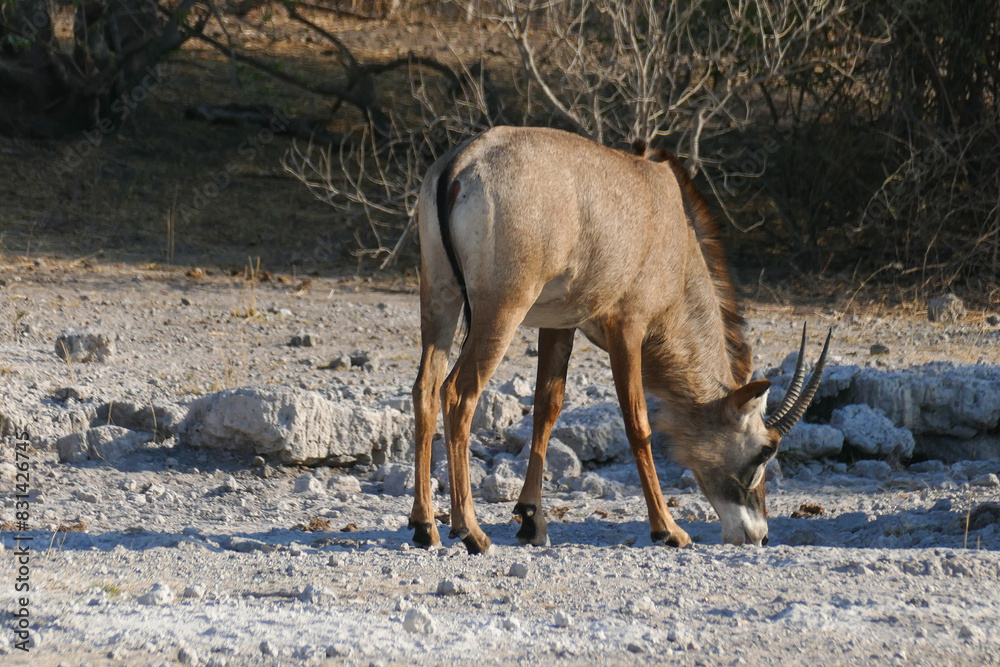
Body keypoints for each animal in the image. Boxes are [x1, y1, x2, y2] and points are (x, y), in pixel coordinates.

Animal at [406, 126, 828, 552]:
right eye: (765, 450)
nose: (758, 534)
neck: (676, 230)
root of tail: (463, 162)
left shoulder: (559, 322)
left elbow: (547, 407)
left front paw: (531, 521)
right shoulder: (628, 324)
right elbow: (638, 422)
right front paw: (667, 528)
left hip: (440, 296)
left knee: (426, 387)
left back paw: (425, 527)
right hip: (502, 308)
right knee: (458, 393)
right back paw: (471, 531)